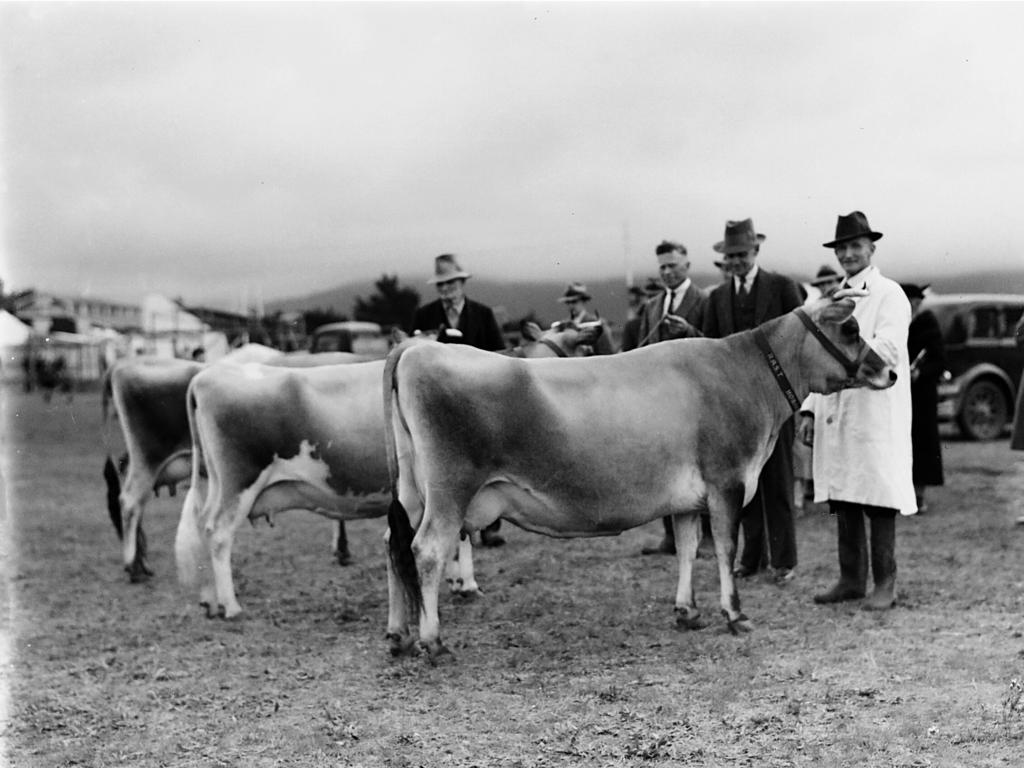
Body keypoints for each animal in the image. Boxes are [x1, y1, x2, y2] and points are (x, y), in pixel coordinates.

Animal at [100, 346, 368, 581]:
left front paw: (341, 548)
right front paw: (342, 549)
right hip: (149, 457)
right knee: (130, 501)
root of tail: (122, 364)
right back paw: (134, 567)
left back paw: (142, 562)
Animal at [172, 319, 602, 618]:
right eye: (570, 336)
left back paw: (210, 601)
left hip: (214, 479)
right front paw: (465, 583)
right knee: (218, 533)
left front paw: (453, 580)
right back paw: (230, 606)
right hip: (239, 478)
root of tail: (206, 376)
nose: (596, 326)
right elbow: (458, 533)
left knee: (200, 525)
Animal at [382, 290, 897, 663]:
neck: (746, 375)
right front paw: (735, 614)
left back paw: (399, 634)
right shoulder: (727, 482)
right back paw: (433, 641)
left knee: (395, 546)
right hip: (450, 490)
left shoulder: (690, 498)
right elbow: (725, 549)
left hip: (413, 492)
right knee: (427, 550)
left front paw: (688, 611)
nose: (889, 371)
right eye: (851, 328)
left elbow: (689, 548)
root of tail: (416, 349)